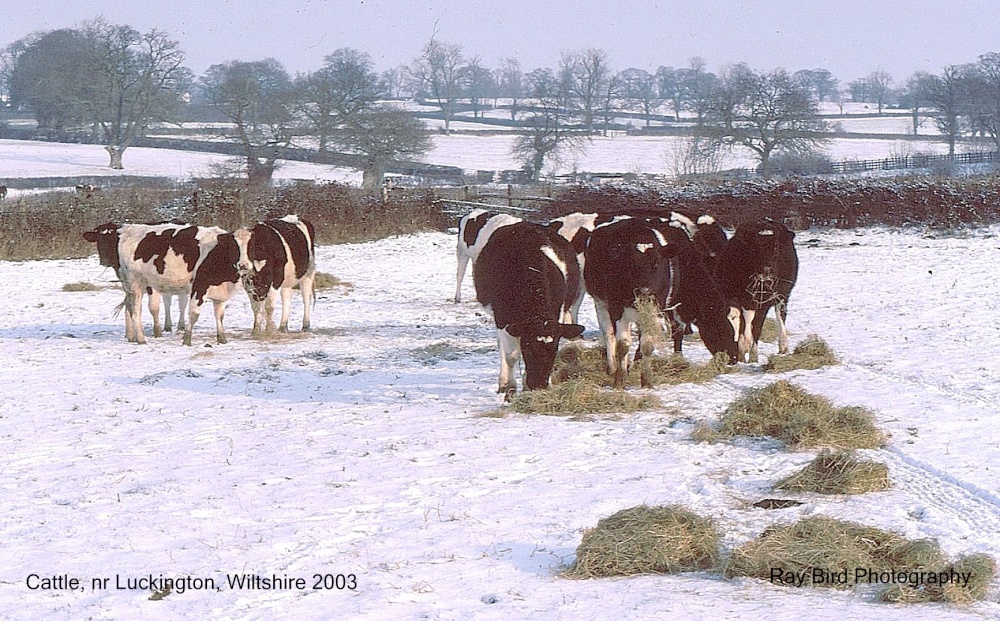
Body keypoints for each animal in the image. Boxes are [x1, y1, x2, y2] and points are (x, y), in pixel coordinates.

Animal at [83, 222, 226, 344]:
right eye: (98, 240)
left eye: (111, 239)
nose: (105, 260)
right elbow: (152, 308)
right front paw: (156, 333)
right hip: (135, 282)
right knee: (135, 307)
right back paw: (139, 337)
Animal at [473, 221, 584, 400]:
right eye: (529, 348)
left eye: (554, 350)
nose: (538, 385)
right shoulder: (502, 318)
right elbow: (511, 355)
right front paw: (510, 388)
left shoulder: (557, 312)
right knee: (502, 347)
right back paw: (503, 382)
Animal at [584, 216, 680, 389]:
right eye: (631, 263)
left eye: (656, 263)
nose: (644, 290)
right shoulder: (617, 308)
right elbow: (623, 344)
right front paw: (619, 380)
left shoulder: (653, 310)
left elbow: (647, 345)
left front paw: (647, 381)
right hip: (600, 303)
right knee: (608, 333)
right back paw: (612, 367)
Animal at [715, 218, 799, 363]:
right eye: (755, 248)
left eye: (776, 246)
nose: (766, 269)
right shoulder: (737, 297)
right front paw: (743, 349)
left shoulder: (767, 300)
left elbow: (756, 325)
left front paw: (751, 352)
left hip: (781, 296)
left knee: (778, 316)